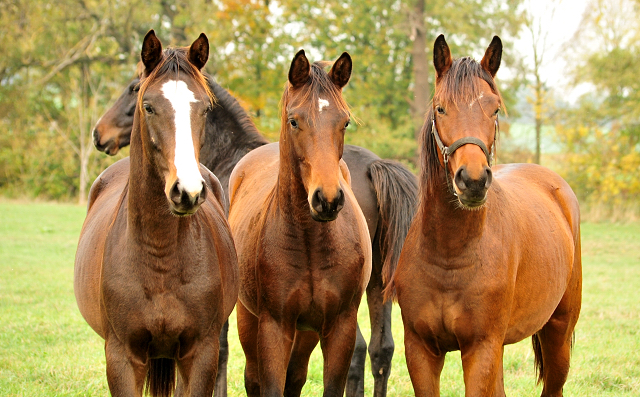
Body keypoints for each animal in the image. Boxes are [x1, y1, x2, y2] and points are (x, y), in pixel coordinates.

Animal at [72, 31, 238, 396]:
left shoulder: (200, 355)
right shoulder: (122, 358)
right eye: (148, 105)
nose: (188, 191)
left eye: (205, 109)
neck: (159, 253)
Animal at [229, 49, 372, 396]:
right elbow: (268, 386)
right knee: (253, 377)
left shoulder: (339, 327)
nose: (327, 199)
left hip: (306, 332)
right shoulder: (274, 326)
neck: (311, 242)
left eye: (345, 121)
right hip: (248, 320)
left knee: (295, 377)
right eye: (294, 120)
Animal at [388, 34, 584, 396]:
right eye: (440, 107)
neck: (450, 255)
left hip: (558, 331)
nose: (473, 180)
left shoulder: (480, 348)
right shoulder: (420, 349)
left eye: (494, 108)